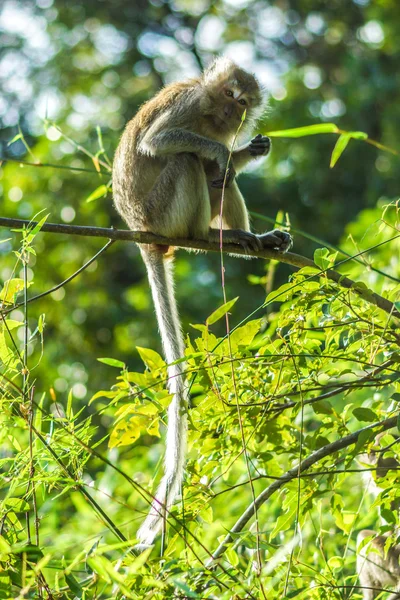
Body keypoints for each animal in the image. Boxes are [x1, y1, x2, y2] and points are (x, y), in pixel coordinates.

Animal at [111, 56, 292, 548]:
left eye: (244, 103)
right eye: (230, 94)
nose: (233, 113)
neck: (209, 112)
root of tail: (142, 236)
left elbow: (226, 163)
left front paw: (248, 150)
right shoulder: (191, 102)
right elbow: (160, 141)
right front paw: (228, 152)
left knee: (218, 177)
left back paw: (246, 238)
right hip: (162, 214)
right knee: (191, 159)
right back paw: (208, 233)